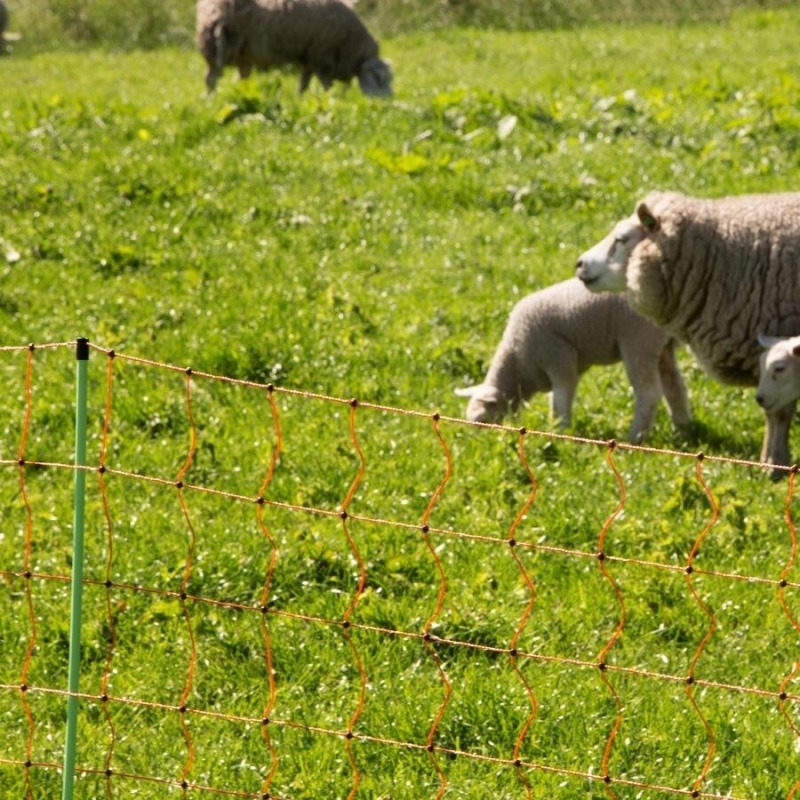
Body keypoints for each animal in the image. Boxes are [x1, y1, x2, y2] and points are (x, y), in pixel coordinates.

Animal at [195, 0, 394, 95]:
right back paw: (210, 100)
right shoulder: (321, 55)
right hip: (217, 47)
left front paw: (299, 99)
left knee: (240, 79)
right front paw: (331, 99)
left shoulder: (310, 56)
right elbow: (326, 84)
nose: (387, 106)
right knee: (210, 79)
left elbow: (303, 83)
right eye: (379, 79)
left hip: (242, 53)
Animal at [454, 278, 692, 444]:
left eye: (483, 420)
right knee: (674, 385)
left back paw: (635, 437)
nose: (479, 442)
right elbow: (556, 398)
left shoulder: (559, 359)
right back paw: (683, 428)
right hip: (661, 346)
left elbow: (561, 399)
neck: (518, 364)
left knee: (649, 392)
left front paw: (560, 431)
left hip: (638, 340)